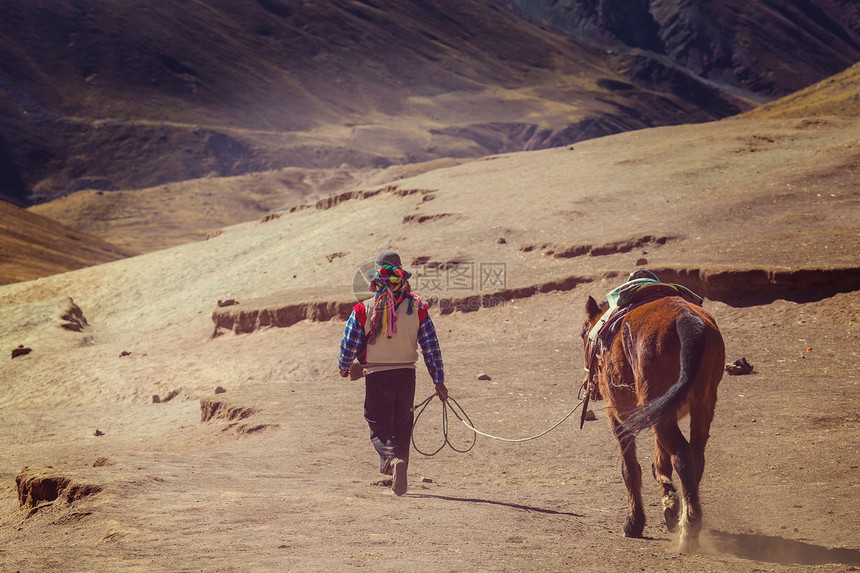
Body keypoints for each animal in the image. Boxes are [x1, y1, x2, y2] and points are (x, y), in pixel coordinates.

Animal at [580, 292, 724, 552]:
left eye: (582, 333)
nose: (589, 385)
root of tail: (685, 318)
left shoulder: (618, 416)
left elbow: (630, 468)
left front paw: (634, 523)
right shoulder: (663, 413)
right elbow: (659, 463)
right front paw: (670, 507)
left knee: (682, 457)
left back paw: (689, 531)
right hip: (703, 405)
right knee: (695, 458)